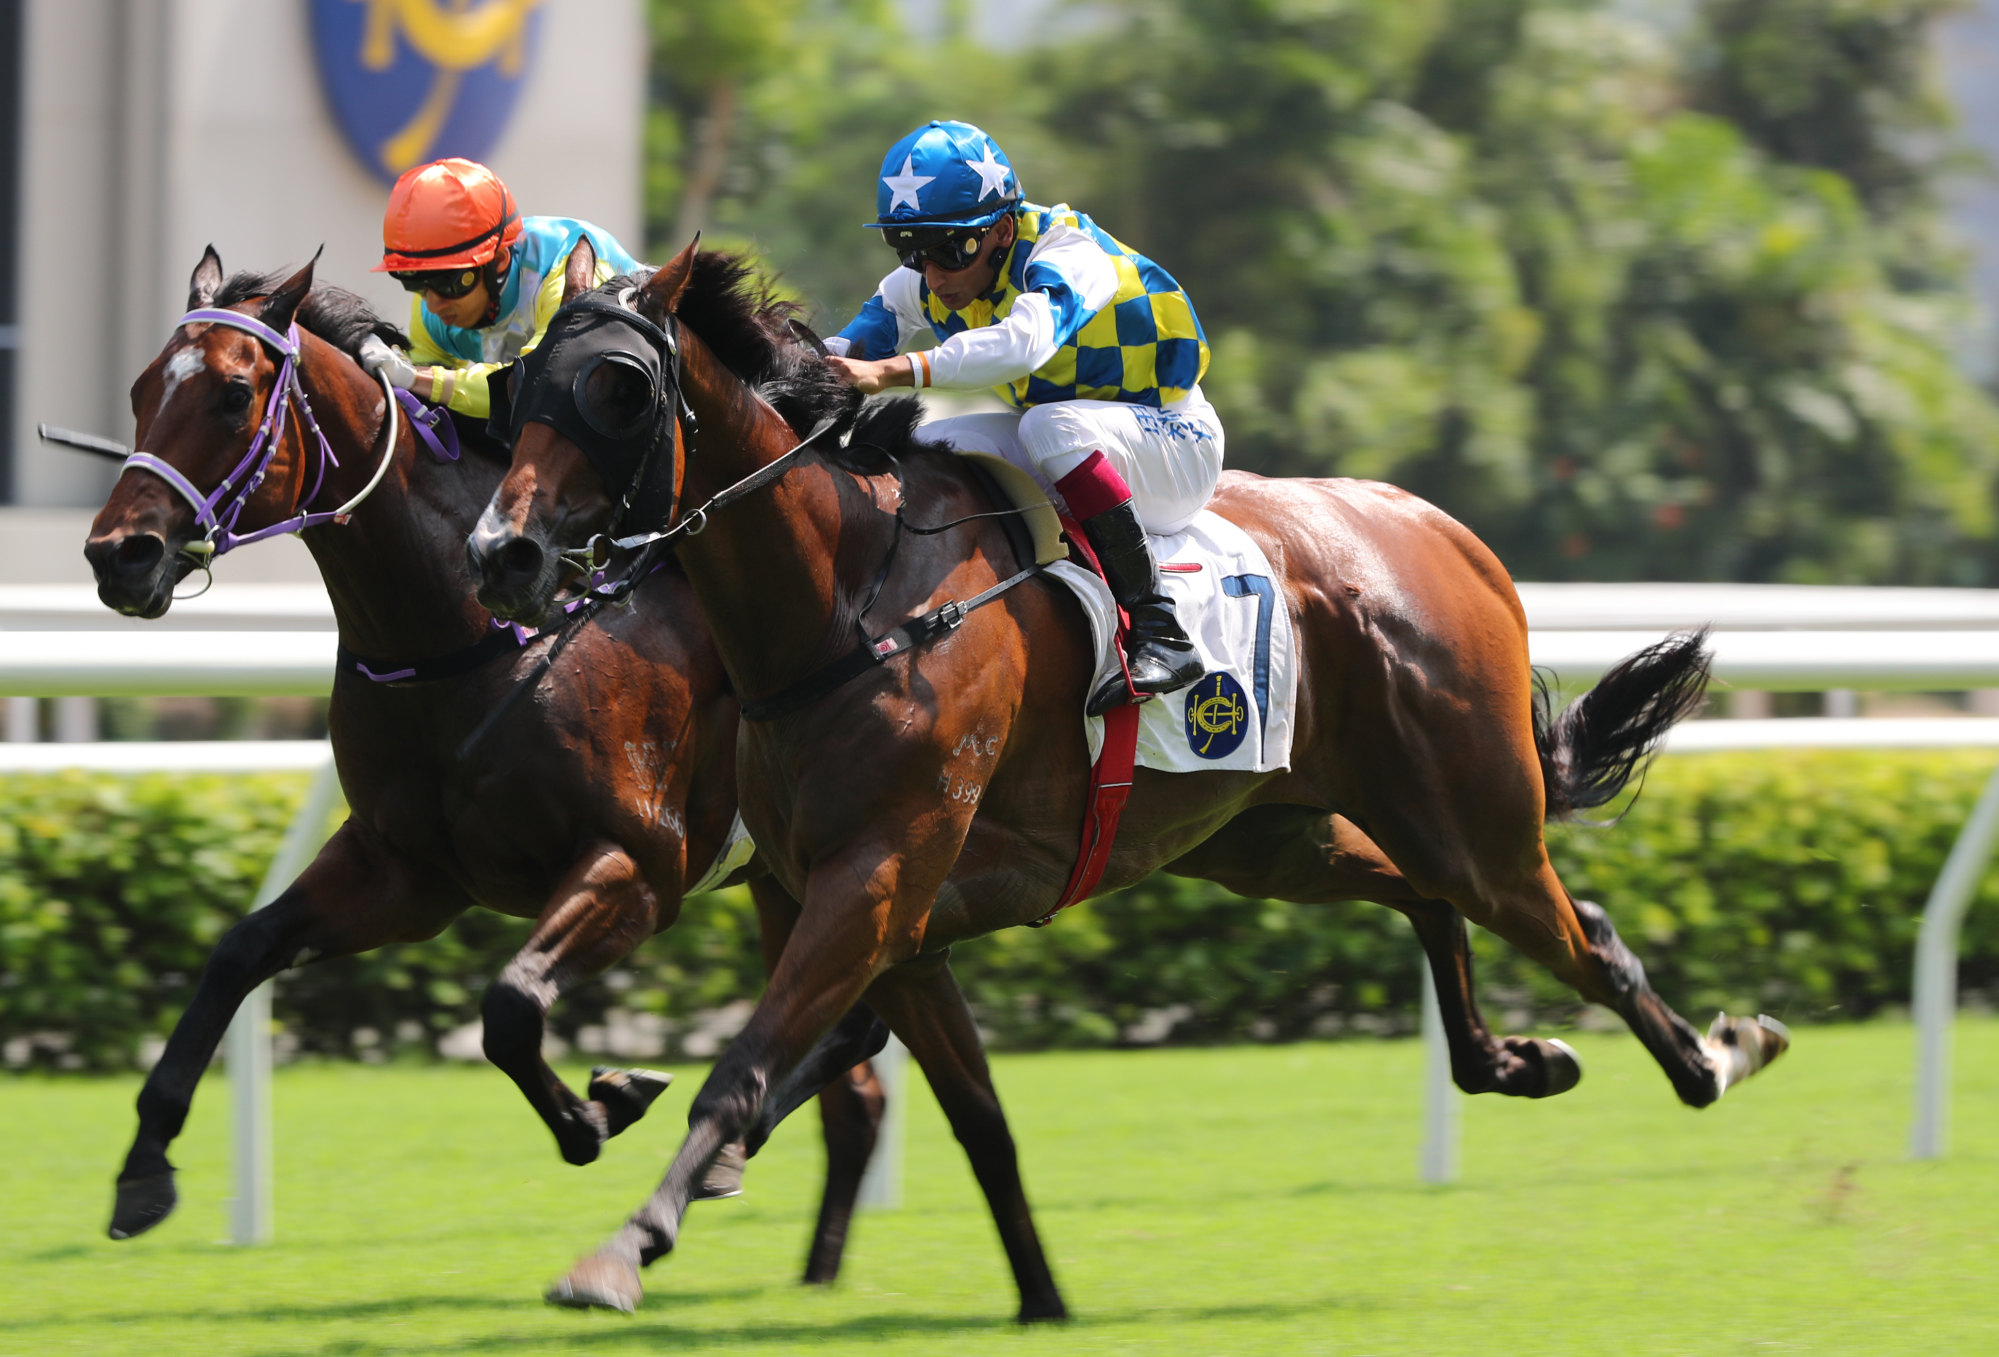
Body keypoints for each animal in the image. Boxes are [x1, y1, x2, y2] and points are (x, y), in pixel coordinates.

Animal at [471, 238, 1799, 1319]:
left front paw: (623, 1243)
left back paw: (1714, 1055)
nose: (503, 554)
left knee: (1582, 932)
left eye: (620, 387)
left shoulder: (880, 882)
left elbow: (744, 1073)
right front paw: (1038, 1296)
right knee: (1421, 893)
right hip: (1271, 837)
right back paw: (1511, 1058)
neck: (851, 605)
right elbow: (953, 1107)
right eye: (517, 385)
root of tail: (1445, 535)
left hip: (1474, 819)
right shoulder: (866, 905)